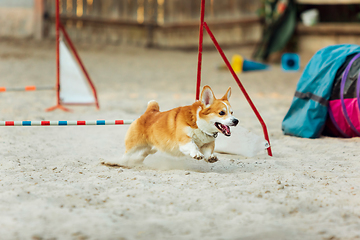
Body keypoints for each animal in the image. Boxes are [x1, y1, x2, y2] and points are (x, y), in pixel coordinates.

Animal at [102, 85, 239, 168]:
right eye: (221, 113)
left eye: (232, 112)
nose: (236, 121)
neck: (199, 124)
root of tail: (150, 111)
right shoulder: (184, 140)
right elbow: (193, 145)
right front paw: (196, 154)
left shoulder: (207, 144)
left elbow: (208, 151)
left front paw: (210, 157)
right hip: (135, 144)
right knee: (126, 155)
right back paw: (116, 162)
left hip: (151, 148)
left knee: (142, 154)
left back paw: (136, 161)